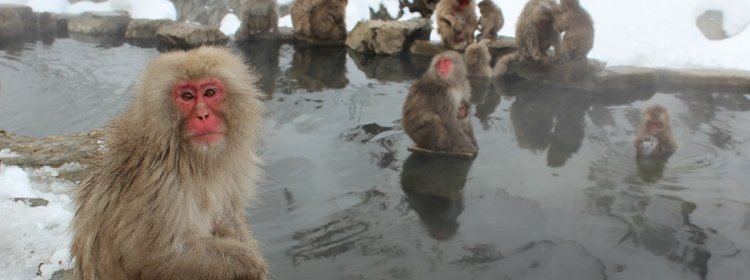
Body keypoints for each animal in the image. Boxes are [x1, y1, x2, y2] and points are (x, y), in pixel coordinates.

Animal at [71, 46, 270, 280]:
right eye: (187, 96)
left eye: (210, 93)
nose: (203, 115)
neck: (182, 153)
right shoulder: (160, 183)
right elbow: (155, 256)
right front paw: (250, 263)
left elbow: (228, 216)